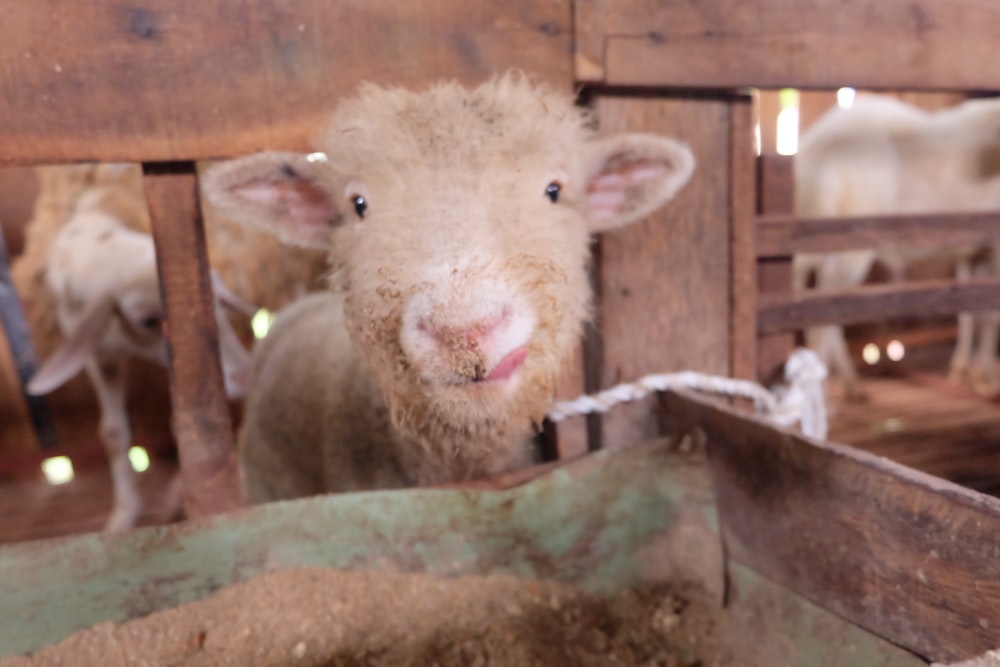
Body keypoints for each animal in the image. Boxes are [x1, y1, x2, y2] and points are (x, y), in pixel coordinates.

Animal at [796, 95, 1000, 402]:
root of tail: (811, 150)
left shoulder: (973, 250)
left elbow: (970, 312)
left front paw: (963, 370)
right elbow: (990, 314)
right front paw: (985, 377)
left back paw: (852, 385)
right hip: (849, 247)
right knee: (822, 319)